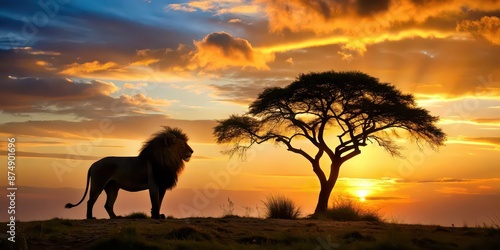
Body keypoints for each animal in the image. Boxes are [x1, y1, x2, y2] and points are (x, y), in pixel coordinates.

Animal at [64, 127, 193, 219]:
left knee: (108, 205)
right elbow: (155, 202)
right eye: (183, 145)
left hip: (112, 187)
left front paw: (157, 215)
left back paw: (116, 217)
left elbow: (159, 202)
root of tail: (93, 164)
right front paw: (156, 216)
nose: (192, 151)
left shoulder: (162, 186)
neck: (169, 160)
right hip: (98, 184)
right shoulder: (154, 184)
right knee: (90, 201)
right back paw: (90, 217)